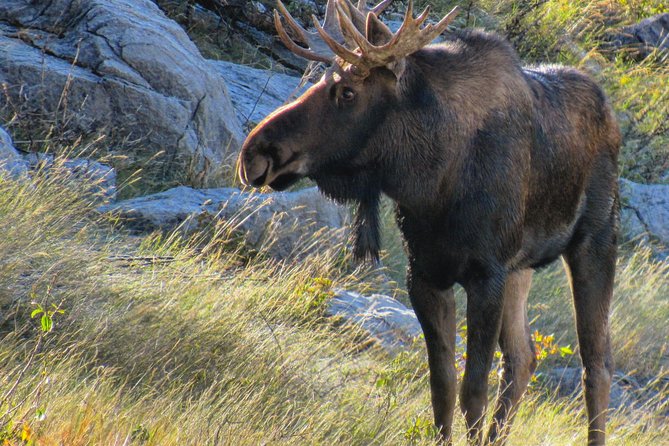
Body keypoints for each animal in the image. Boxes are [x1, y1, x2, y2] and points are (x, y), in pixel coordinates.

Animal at [236, 1, 620, 444]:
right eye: (317, 78)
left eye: (347, 92)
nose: (254, 152)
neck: (430, 180)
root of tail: (609, 112)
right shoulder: (424, 274)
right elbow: (442, 388)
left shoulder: (485, 274)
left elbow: (473, 390)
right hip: (521, 267)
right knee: (524, 357)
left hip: (595, 241)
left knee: (597, 367)